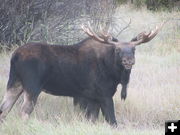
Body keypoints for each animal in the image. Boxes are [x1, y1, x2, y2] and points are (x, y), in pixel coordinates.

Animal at [0, 21, 164, 125]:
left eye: (134, 49)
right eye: (117, 50)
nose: (128, 61)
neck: (114, 74)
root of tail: (15, 56)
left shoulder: (91, 98)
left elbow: (93, 120)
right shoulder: (104, 95)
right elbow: (112, 121)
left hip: (14, 83)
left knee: (4, 109)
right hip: (33, 87)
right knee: (23, 111)